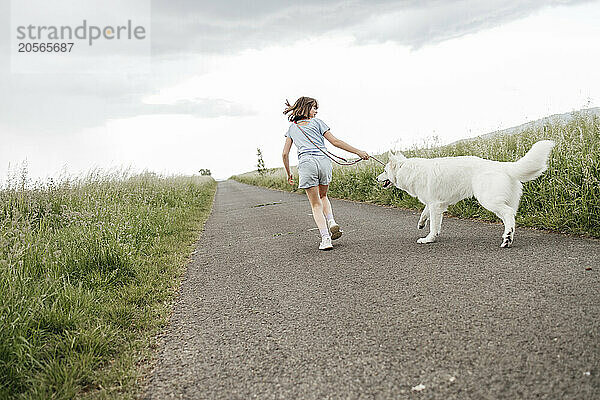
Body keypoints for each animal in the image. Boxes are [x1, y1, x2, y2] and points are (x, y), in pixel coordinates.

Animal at [378, 141, 556, 247]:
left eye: (384, 170)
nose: (376, 178)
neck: (407, 169)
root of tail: (503, 166)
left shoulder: (435, 205)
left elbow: (433, 224)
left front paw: (429, 239)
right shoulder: (436, 204)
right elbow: (426, 215)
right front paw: (422, 225)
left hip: (489, 200)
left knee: (509, 214)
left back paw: (507, 238)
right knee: (510, 217)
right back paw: (508, 237)